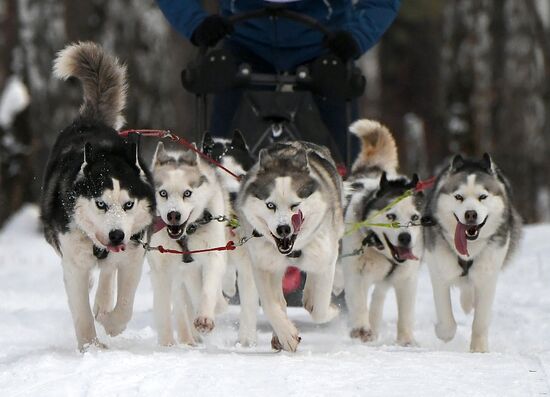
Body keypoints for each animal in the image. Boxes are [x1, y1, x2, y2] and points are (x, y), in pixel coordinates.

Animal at [426, 153, 520, 352]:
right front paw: (443, 332)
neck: (469, 249)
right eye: (458, 197)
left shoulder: (488, 274)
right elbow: (446, 317)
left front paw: (479, 349)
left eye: (482, 196)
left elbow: (481, 320)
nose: (471, 214)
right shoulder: (439, 269)